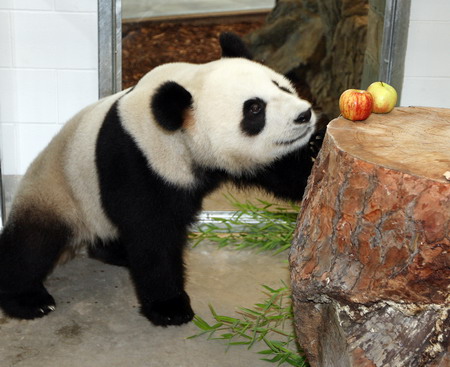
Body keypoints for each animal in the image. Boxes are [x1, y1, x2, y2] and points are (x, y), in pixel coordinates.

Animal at [0, 33, 316, 328]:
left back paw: (116, 251)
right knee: (32, 244)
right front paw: (170, 307)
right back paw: (29, 300)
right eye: (254, 109)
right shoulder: (137, 158)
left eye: (281, 86)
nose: (304, 115)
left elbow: (293, 172)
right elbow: (151, 231)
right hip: (58, 190)